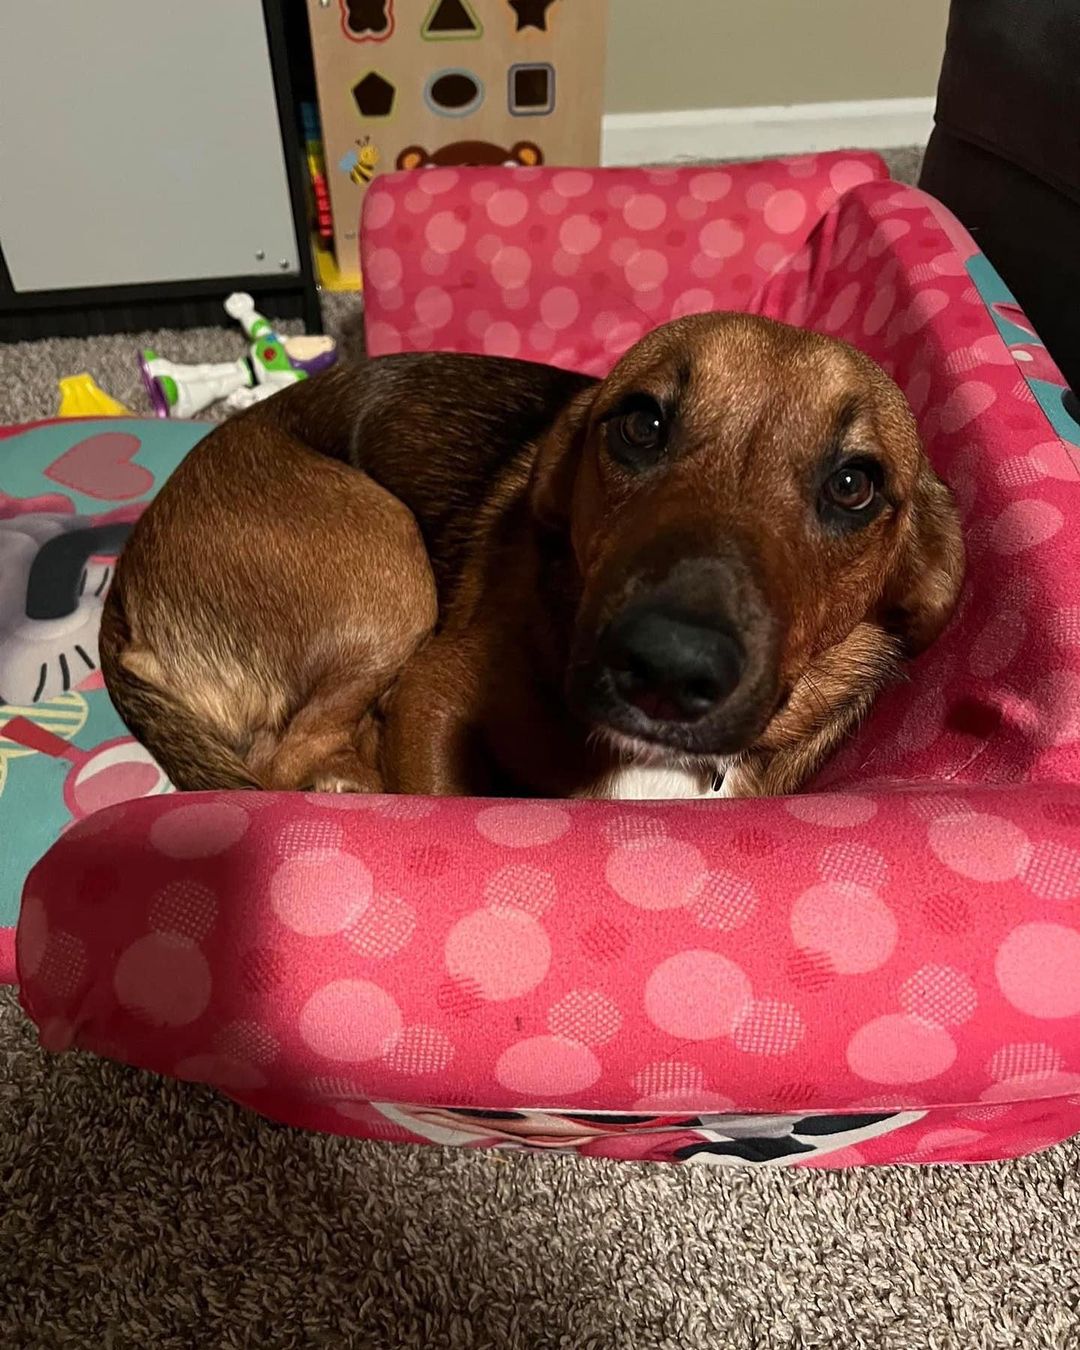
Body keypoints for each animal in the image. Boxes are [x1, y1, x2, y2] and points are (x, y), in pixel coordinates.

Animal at [99, 313, 961, 799]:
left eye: (853, 485)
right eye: (640, 424)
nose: (669, 665)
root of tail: (124, 584)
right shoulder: (433, 694)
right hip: (387, 578)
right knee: (285, 761)